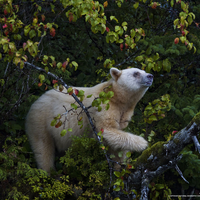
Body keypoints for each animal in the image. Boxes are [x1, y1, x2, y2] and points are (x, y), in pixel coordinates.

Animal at [25, 67, 153, 172]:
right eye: (136, 73)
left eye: (144, 71)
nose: (150, 76)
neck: (116, 97)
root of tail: (35, 102)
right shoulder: (102, 107)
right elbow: (106, 129)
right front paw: (143, 143)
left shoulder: (124, 114)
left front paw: (120, 165)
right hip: (40, 121)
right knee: (43, 149)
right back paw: (49, 172)